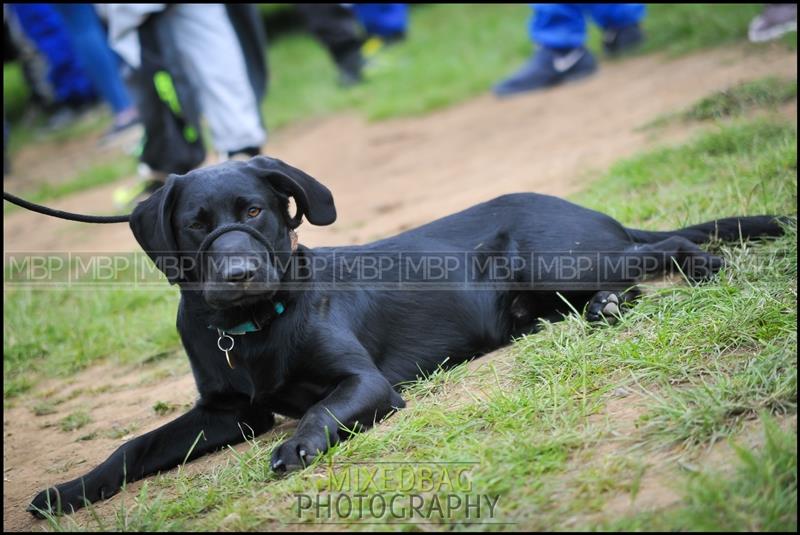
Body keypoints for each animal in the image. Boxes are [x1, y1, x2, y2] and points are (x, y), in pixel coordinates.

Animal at [28, 157, 784, 516]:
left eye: (257, 211)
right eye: (196, 225)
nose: (239, 273)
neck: (249, 329)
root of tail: (593, 211)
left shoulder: (364, 382)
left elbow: (320, 409)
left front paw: (299, 447)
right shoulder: (227, 413)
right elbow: (133, 447)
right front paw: (68, 491)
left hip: (555, 256)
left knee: (665, 248)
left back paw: (701, 265)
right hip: (544, 295)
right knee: (618, 284)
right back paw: (604, 308)